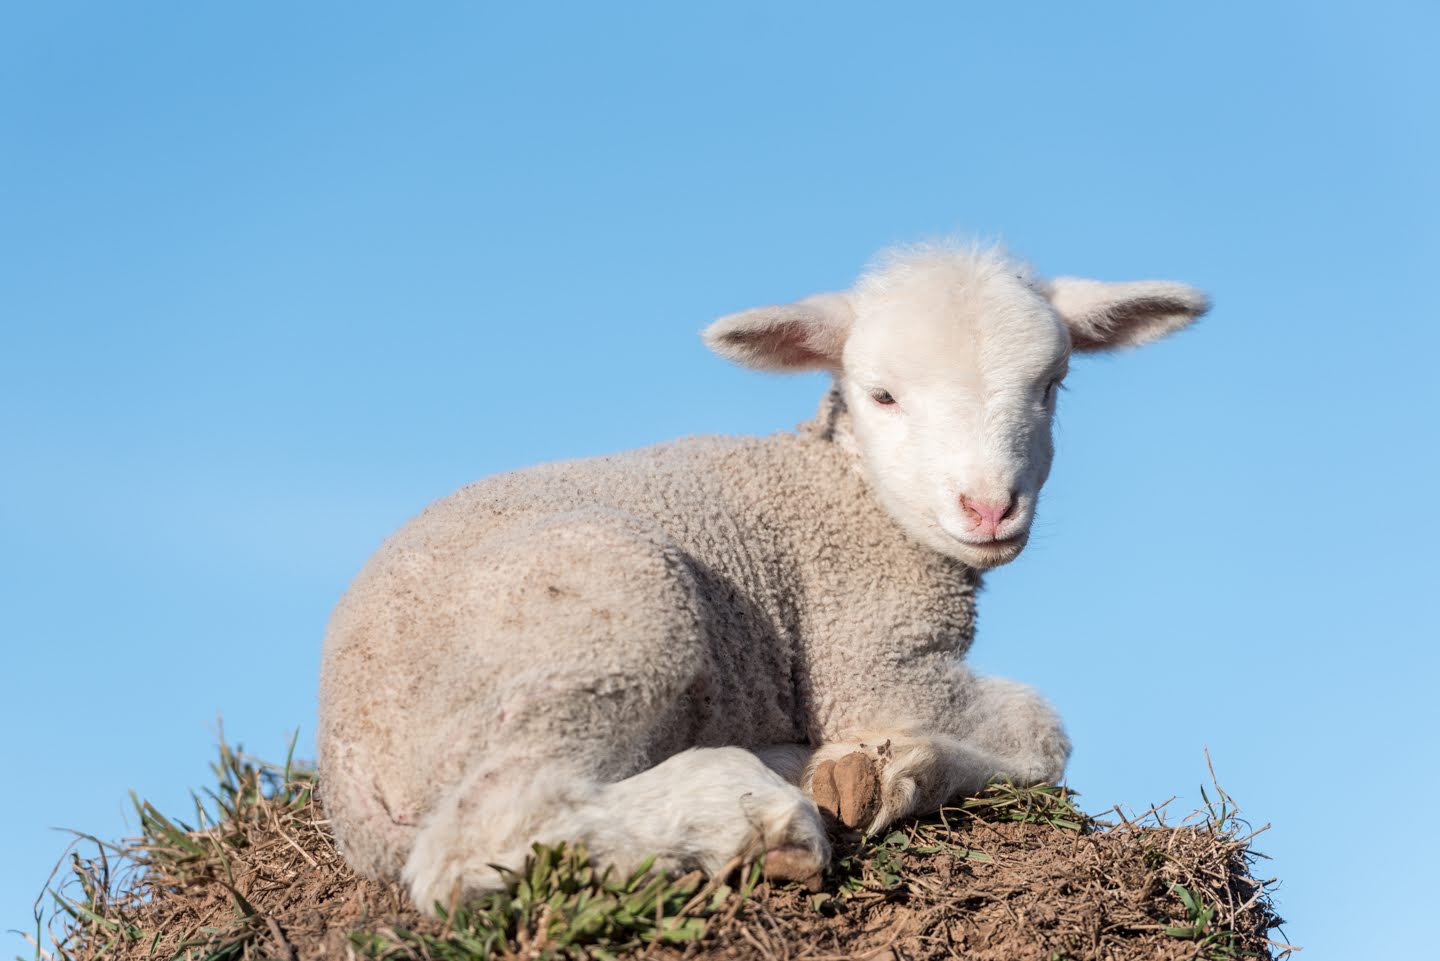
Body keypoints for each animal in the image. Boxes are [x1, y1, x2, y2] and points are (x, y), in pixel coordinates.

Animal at [321, 240, 1209, 910]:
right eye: (882, 395)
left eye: (1053, 385)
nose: (990, 508)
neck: (846, 486)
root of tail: (352, 779)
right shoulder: (870, 650)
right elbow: (1043, 728)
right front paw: (905, 767)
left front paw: (866, 766)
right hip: (607, 612)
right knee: (482, 836)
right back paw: (747, 818)